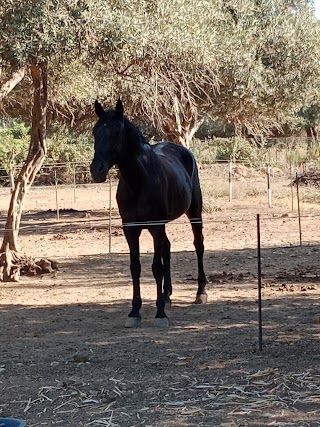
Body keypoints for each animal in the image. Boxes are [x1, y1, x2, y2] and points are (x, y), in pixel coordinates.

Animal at [90, 100, 208, 328]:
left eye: (116, 131)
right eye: (95, 132)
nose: (96, 170)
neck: (139, 181)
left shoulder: (155, 226)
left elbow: (156, 267)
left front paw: (160, 313)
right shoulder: (130, 229)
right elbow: (135, 267)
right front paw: (135, 311)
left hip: (194, 212)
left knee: (198, 245)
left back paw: (201, 292)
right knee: (167, 249)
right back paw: (167, 295)